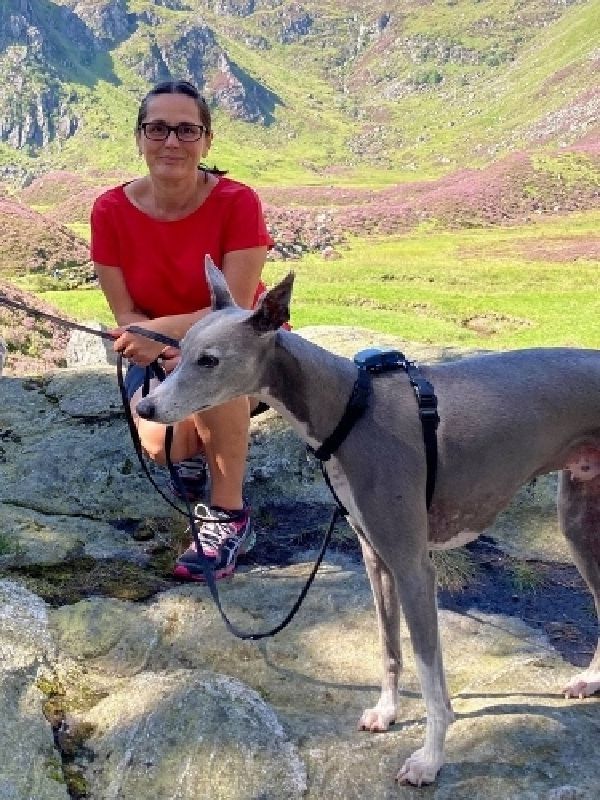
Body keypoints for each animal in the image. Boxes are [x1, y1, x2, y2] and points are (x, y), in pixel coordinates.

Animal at [138, 258, 600, 788]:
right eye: (181, 349)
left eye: (209, 360)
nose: (145, 408)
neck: (349, 406)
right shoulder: (375, 557)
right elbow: (388, 647)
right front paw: (386, 713)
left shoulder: (414, 565)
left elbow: (430, 675)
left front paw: (429, 759)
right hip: (578, 521)